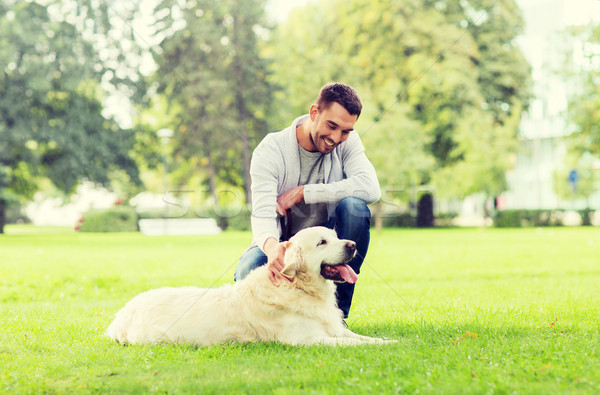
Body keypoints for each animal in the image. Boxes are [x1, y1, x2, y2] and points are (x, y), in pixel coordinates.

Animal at [106, 226, 394, 346]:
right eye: (322, 242)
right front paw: (385, 346)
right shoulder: (308, 339)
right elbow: (353, 344)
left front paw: (390, 341)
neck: (298, 288)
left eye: (335, 237)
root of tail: (123, 313)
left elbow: (360, 338)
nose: (352, 245)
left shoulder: (333, 329)